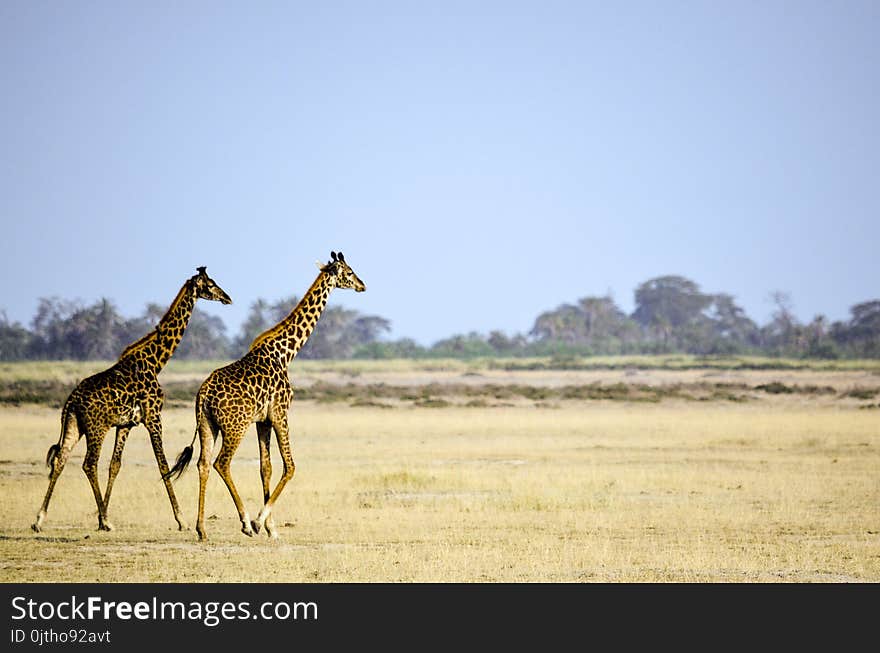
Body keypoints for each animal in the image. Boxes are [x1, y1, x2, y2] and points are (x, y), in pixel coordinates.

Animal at [31, 268, 232, 532]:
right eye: (210, 284)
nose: (227, 298)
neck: (155, 362)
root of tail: (71, 402)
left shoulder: (126, 424)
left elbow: (115, 465)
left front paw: (101, 516)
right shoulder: (154, 417)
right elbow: (163, 463)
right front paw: (181, 520)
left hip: (74, 425)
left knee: (60, 460)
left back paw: (39, 519)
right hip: (96, 428)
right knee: (88, 464)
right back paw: (106, 521)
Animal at [165, 250, 364, 540]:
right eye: (349, 272)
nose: (363, 285)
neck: (286, 353)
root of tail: (203, 395)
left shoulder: (263, 420)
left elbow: (265, 468)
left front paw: (272, 528)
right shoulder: (281, 412)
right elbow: (290, 466)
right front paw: (260, 523)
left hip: (207, 424)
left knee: (203, 464)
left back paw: (201, 529)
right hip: (235, 426)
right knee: (221, 463)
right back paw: (245, 523)